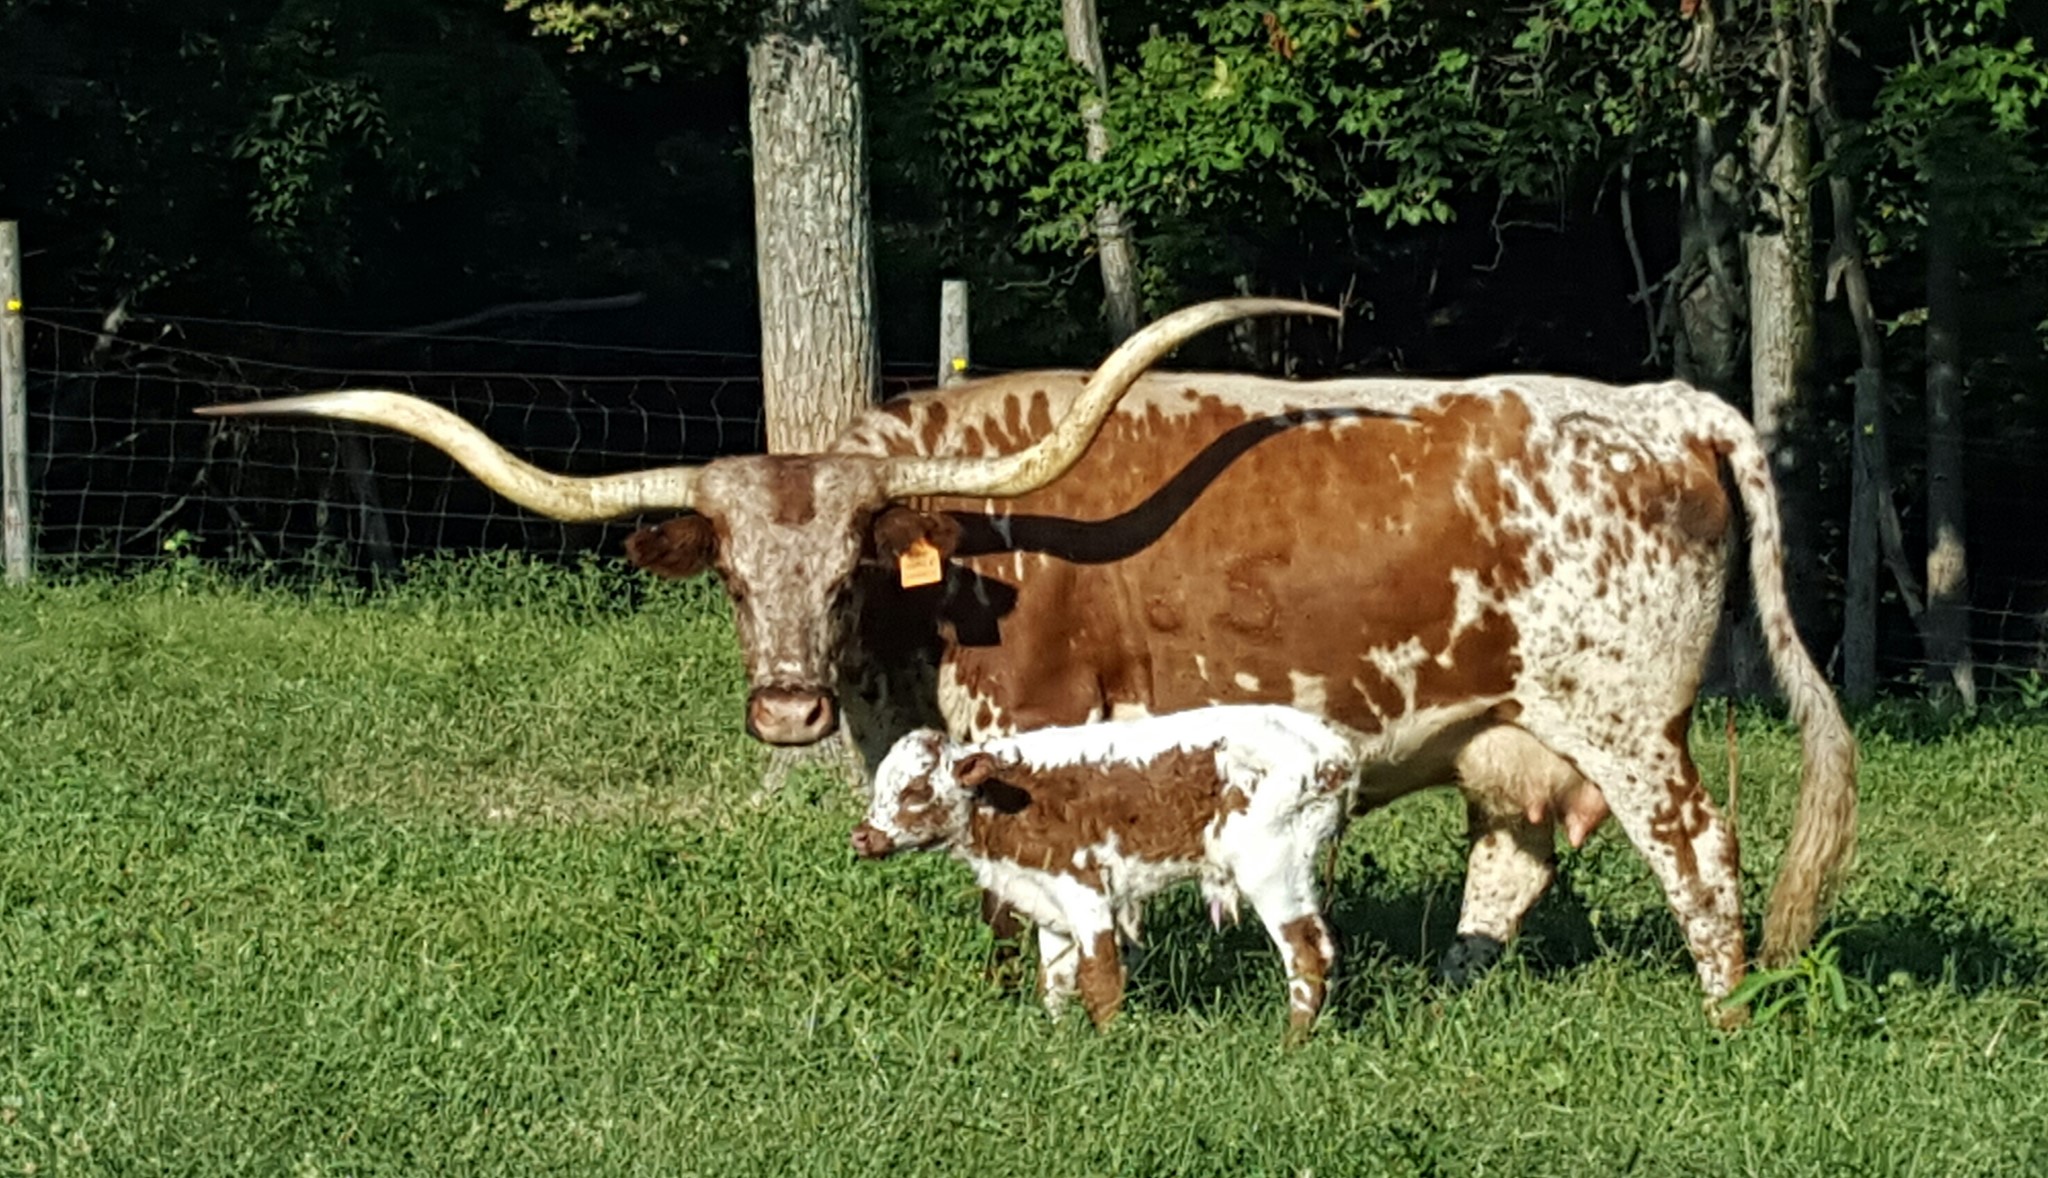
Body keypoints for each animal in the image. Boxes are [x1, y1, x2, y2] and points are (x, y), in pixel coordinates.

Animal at [852, 704, 1372, 1037]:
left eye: (916, 791)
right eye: (881, 786)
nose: (862, 836)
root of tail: (1330, 745)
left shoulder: (1085, 891)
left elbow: (1099, 977)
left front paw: (1108, 1046)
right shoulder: (1048, 900)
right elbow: (1055, 983)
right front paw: (1060, 1047)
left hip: (1270, 866)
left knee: (1306, 954)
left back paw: (1291, 1045)